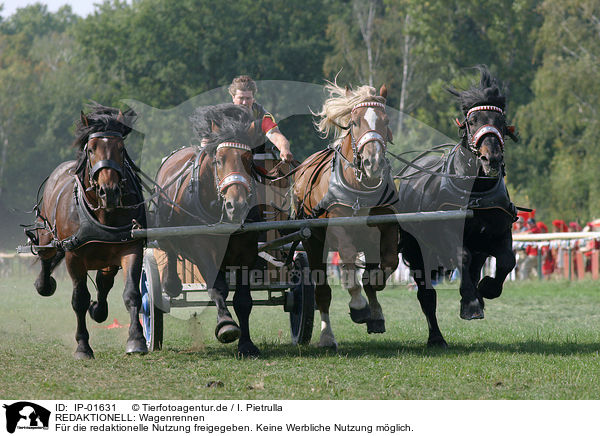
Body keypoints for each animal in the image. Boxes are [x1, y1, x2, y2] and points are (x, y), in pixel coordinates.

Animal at [28, 104, 148, 360]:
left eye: (121, 149)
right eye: (91, 149)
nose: (109, 191)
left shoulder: (130, 247)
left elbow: (132, 293)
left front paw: (136, 339)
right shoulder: (74, 255)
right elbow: (79, 299)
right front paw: (83, 346)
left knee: (104, 282)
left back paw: (99, 309)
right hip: (47, 234)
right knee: (45, 257)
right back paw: (44, 284)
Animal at [152, 103, 262, 358]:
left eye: (249, 159)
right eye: (219, 160)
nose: (236, 205)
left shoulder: (247, 249)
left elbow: (243, 300)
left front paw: (246, 344)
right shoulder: (201, 247)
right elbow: (218, 288)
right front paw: (227, 325)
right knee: (169, 251)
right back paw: (171, 283)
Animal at [290, 81, 398, 348]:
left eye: (386, 121)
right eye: (355, 122)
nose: (373, 162)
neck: (361, 186)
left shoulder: (387, 224)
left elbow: (387, 264)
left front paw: (374, 302)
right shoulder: (337, 227)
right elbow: (348, 258)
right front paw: (358, 305)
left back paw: (375, 314)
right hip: (312, 243)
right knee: (322, 292)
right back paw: (327, 335)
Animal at [396, 64, 516, 346]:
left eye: (501, 121)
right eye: (473, 122)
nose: (491, 158)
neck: (476, 191)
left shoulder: (500, 231)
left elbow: (507, 260)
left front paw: (486, 289)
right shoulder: (446, 234)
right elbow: (462, 255)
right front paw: (471, 304)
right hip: (417, 252)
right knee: (427, 296)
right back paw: (437, 337)